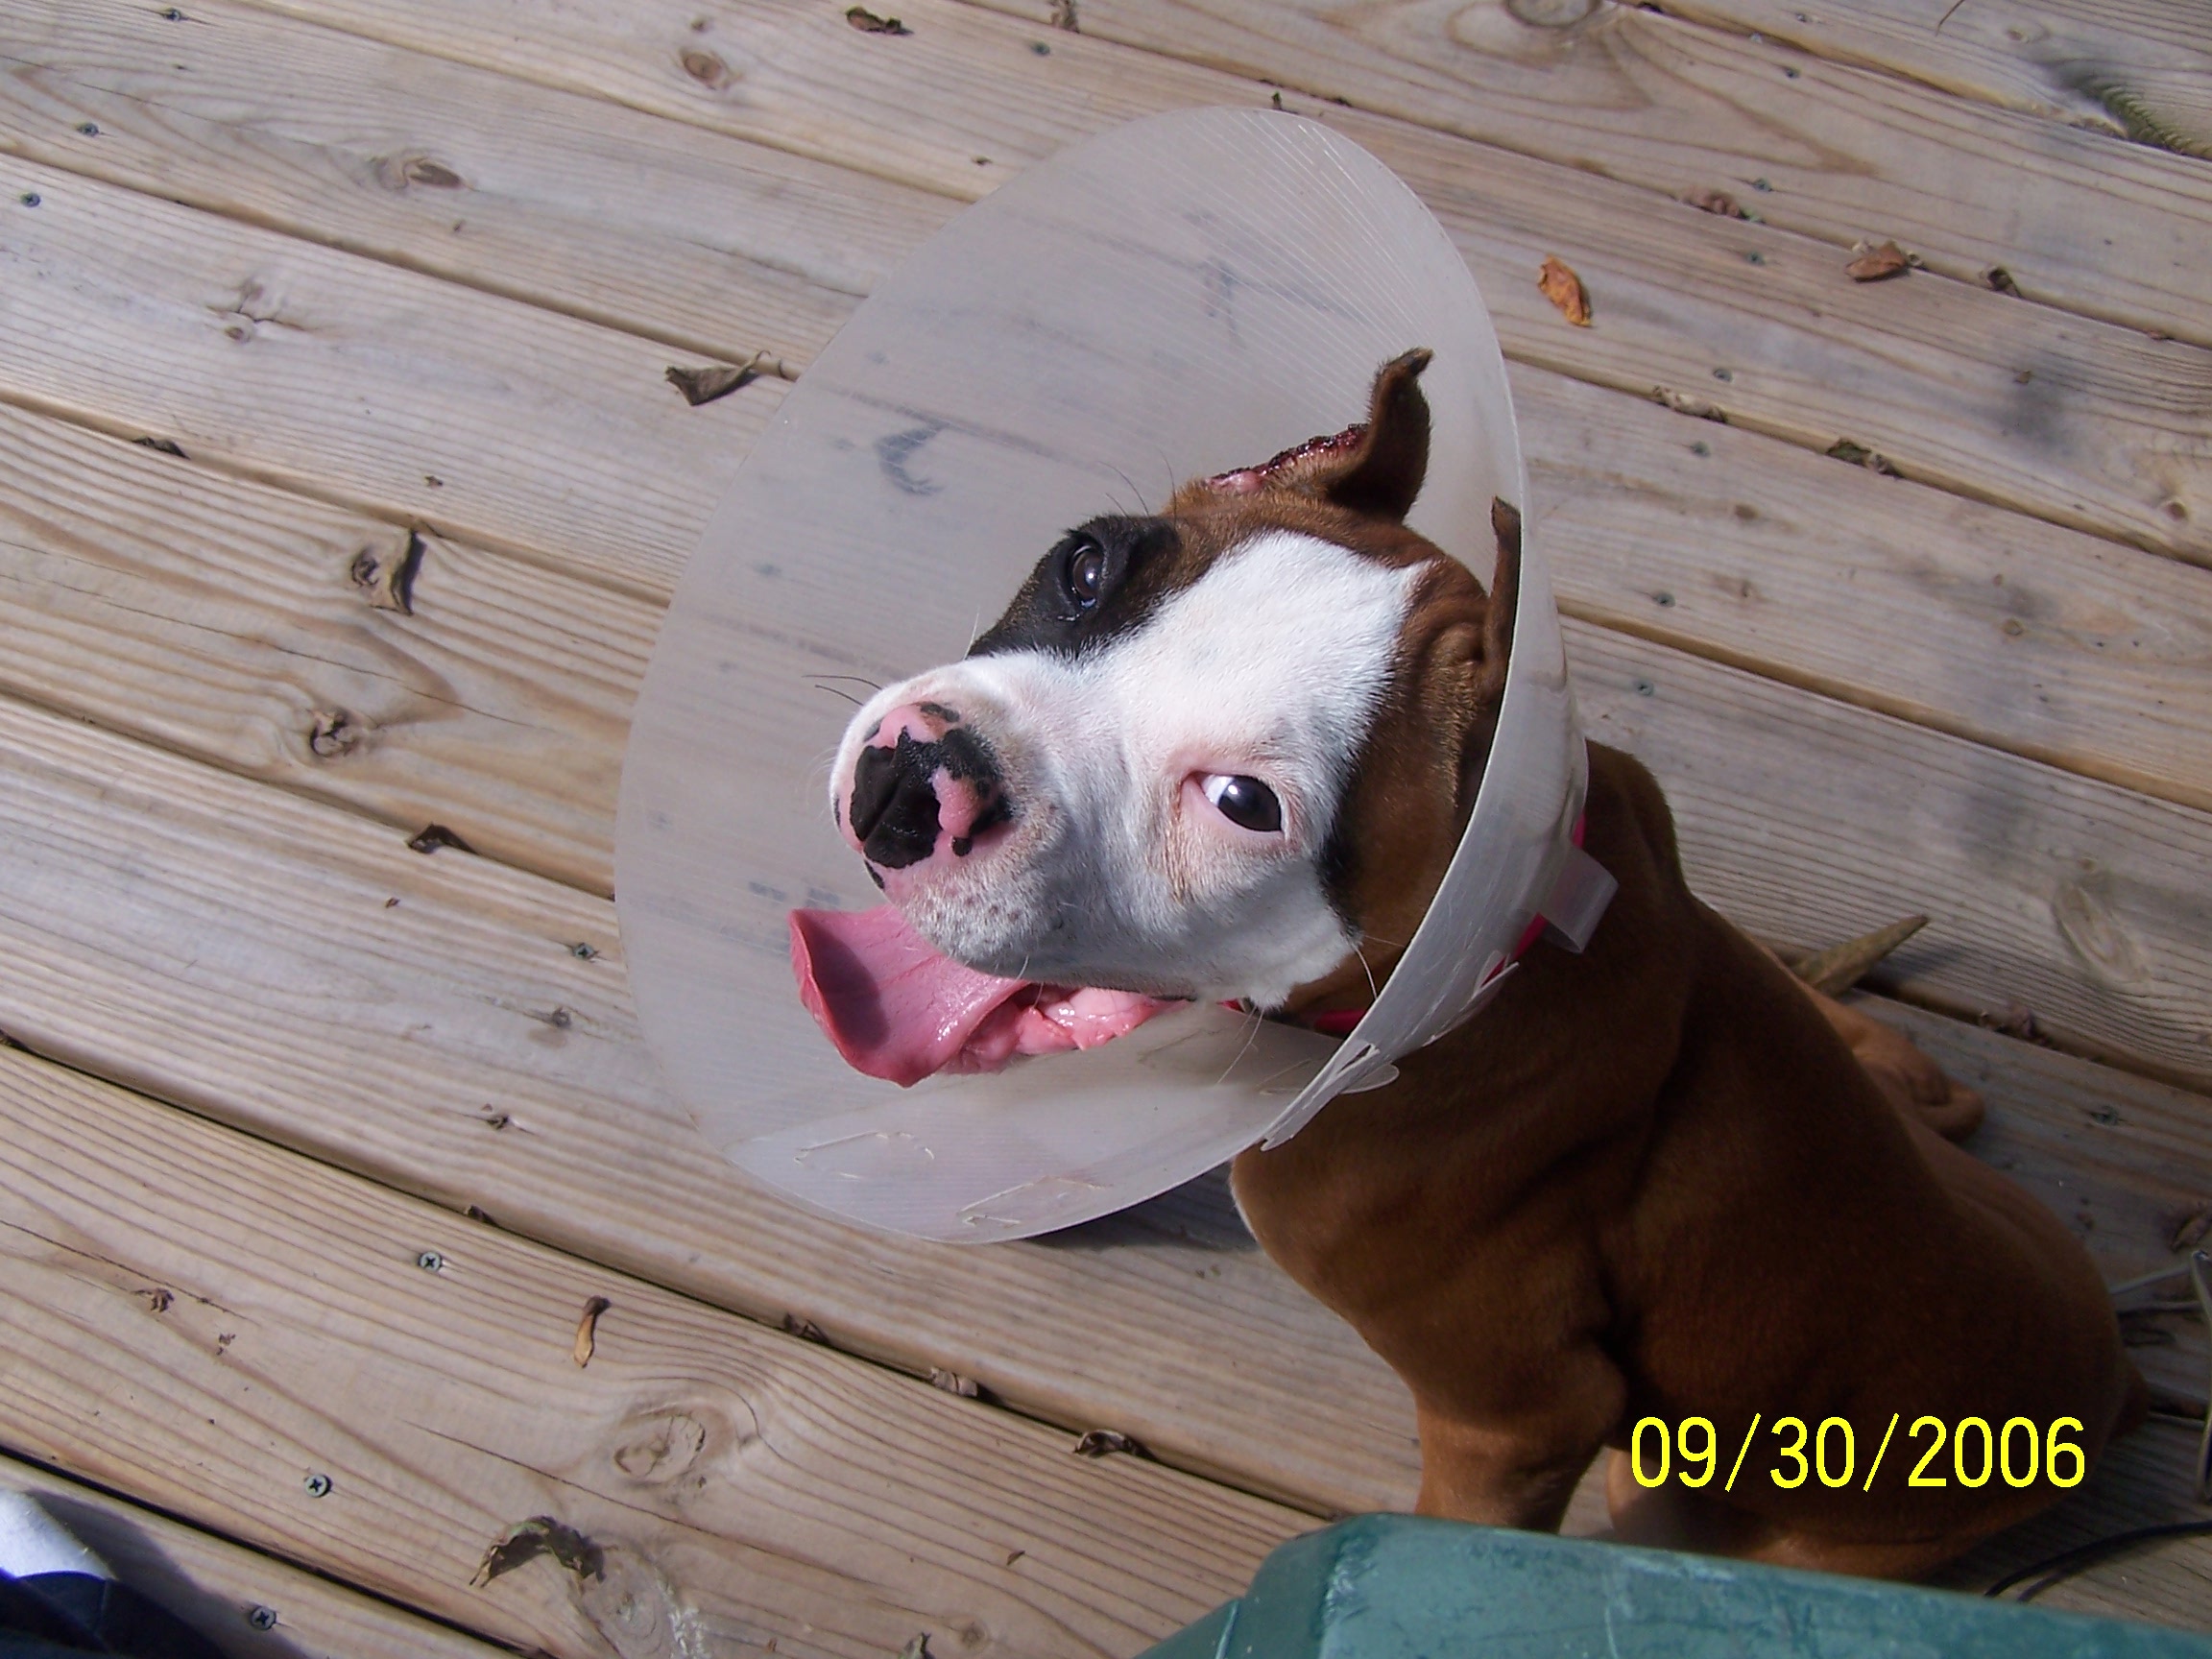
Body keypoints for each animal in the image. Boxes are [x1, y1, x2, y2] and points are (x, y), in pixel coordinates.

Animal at [801, 350, 2144, 1577]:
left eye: (1244, 804)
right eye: (1085, 567)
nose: (910, 784)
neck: (1510, 943)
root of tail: (2110, 1370)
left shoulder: (1514, 1422)